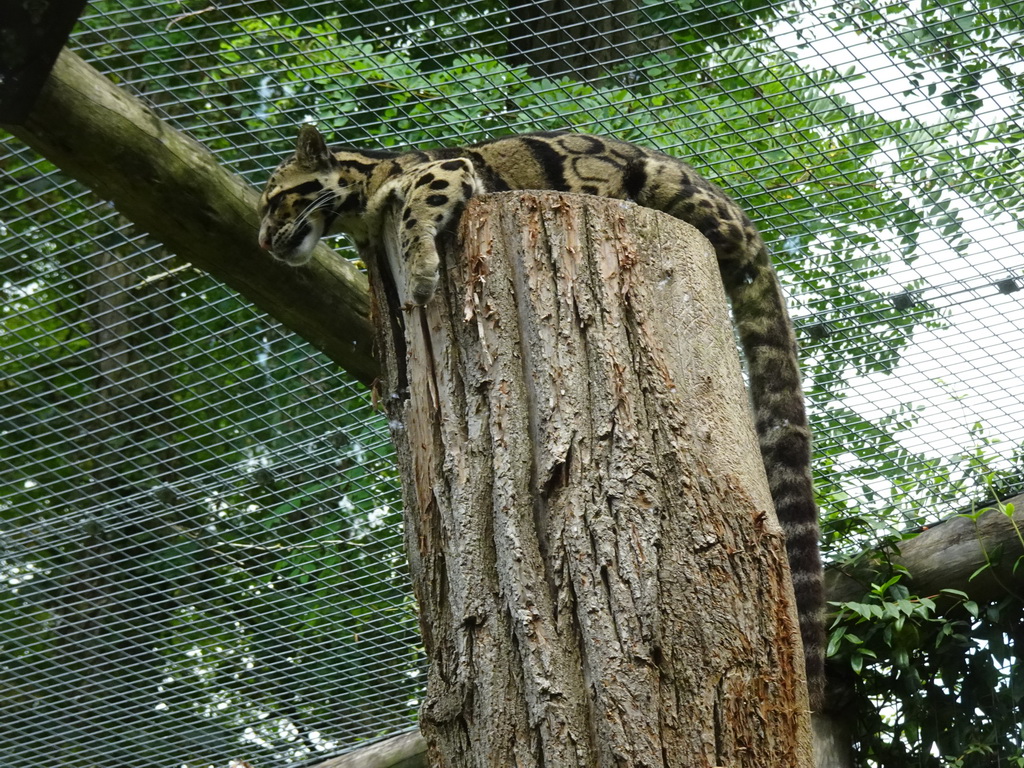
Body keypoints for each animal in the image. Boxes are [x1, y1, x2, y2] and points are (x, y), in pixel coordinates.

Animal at [260, 124, 827, 708]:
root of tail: (741, 215)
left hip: (668, 190)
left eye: (276, 200)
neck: (364, 194)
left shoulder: (445, 171)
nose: (263, 242)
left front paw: (419, 271)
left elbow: (419, 210)